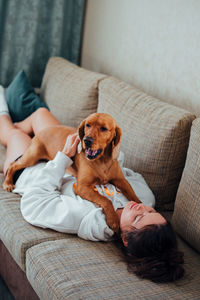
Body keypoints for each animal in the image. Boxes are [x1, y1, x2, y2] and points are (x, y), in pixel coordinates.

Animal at [2, 112, 141, 232]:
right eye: (88, 125)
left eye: (104, 128)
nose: (87, 140)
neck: (102, 161)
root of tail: (42, 131)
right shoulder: (82, 187)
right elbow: (105, 200)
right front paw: (113, 220)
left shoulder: (121, 180)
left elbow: (133, 194)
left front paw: (142, 207)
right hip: (31, 157)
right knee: (13, 165)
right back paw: (8, 183)